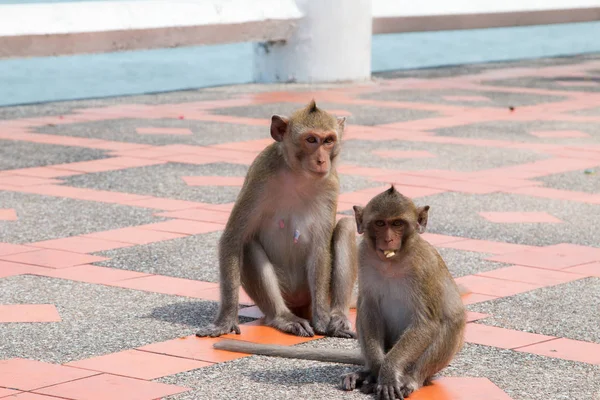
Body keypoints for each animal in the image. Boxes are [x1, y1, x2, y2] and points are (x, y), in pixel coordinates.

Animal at [196, 101, 356, 340]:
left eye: (328, 140)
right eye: (311, 140)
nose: (321, 160)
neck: (298, 174)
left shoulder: (331, 184)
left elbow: (320, 248)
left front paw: (322, 319)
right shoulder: (260, 176)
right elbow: (234, 239)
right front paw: (225, 321)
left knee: (346, 226)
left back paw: (338, 316)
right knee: (247, 243)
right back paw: (283, 318)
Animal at [213, 186, 466, 398]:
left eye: (398, 224)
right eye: (380, 223)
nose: (388, 239)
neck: (392, 262)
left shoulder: (424, 266)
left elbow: (426, 323)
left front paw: (388, 371)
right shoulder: (364, 255)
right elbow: (370, 309)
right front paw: (377, 370)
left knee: (450, 323)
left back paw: (410, 379)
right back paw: (366, 372)